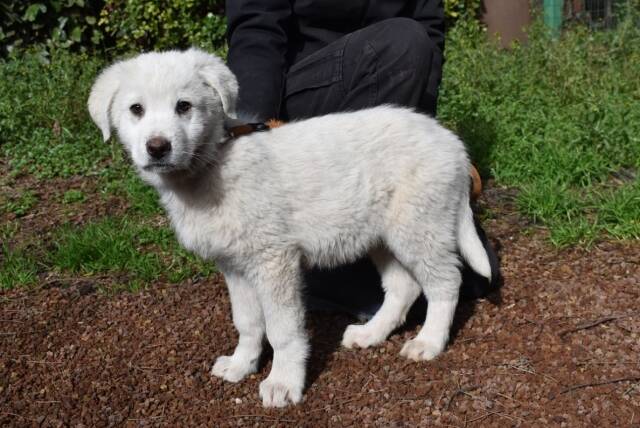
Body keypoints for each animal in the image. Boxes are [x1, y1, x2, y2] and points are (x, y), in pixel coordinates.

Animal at [88, 48, 492, 408]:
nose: (158, 147)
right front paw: (242, 364)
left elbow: (281, 330)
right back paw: (371, 334)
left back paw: (429, 342)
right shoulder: (235, 266)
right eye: (136, 110)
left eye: (183, 106)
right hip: (383, 235)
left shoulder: (274, 261)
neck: (214, 161)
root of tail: (452, 143)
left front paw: (282, 383)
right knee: (404, 286)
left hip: (421, 226)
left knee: (445, 283)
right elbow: (248, 322)